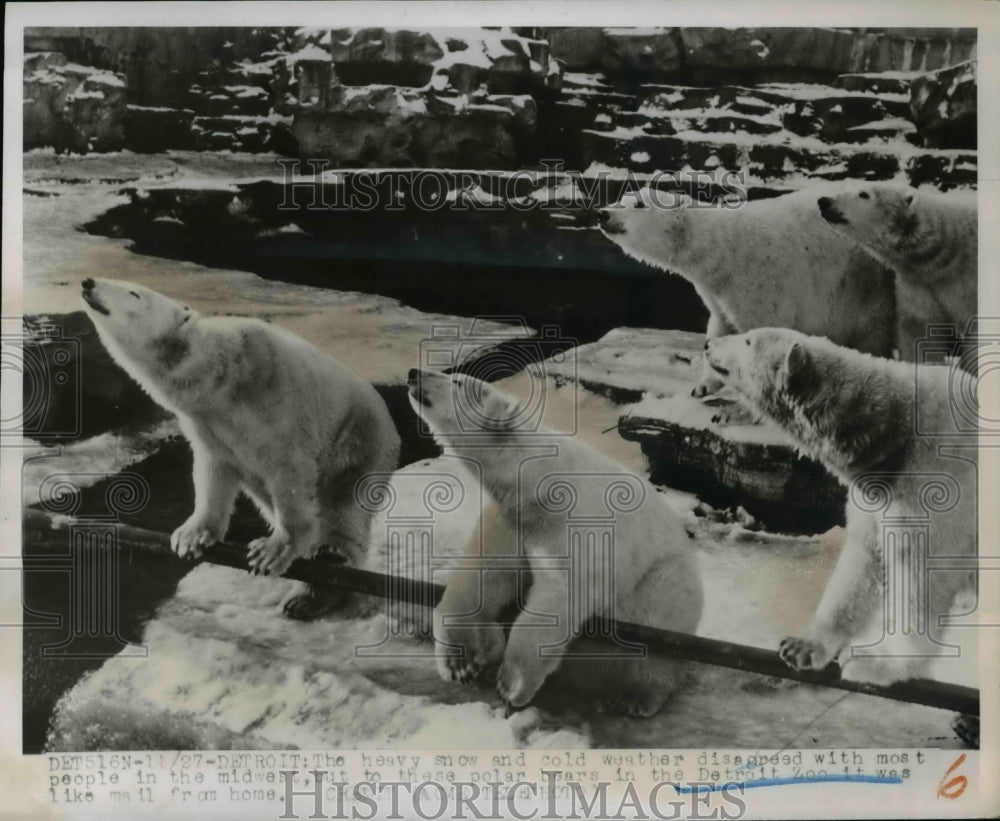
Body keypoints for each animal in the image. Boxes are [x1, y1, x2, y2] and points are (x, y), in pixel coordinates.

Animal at [80, 278, 398, 620]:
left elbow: (290, 470)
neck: (222, 377)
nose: (88, 282)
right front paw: (192, 536)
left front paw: (272, 551)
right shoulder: (207, 423)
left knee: (343, 509)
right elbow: (213, 471)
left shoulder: (276, 400)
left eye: (134, 292)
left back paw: (319, 580)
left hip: (359, 441)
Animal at [406, 368, 704, 716]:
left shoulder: (573, 524)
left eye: (457, 381)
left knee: (658, 639)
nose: (414, 373)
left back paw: (636, 697)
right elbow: (487, 573)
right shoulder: (514, 520)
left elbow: (562, 591)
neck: (538, 482)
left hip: (665, 584)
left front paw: (512, 684)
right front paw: (460, 663)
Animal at [600, 184, 900, 396]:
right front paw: (703, 386)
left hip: (867, 293)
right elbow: (719, 328)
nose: (603, 213)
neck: (723, 248)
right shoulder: (718, 292)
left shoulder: (760, 282)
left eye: (638, 203)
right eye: (622, 197)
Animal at [704, 326, 976, 684]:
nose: (708, 344)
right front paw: (803, 647)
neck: (894, 432)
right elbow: (862, 561)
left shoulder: (936, 485)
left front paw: (878, 665)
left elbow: (919, 577)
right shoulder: (877, 496)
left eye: (749, 340)